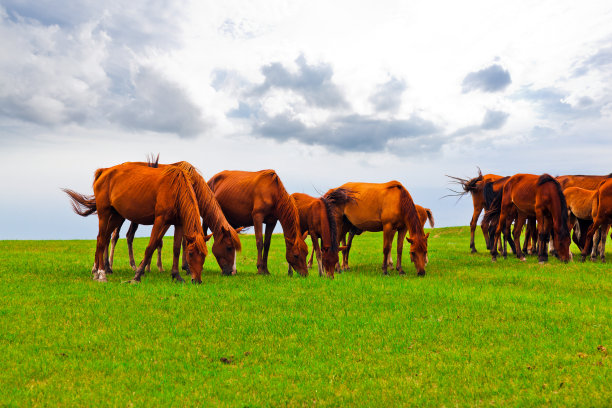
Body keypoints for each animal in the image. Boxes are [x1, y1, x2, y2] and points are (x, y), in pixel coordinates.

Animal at [62, 163, 208, 284]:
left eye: (204, 255)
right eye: (190, 254)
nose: (197, 280)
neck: (175, 188)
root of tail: (104, 171)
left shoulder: (178, 224)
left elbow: (176, 249)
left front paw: (176, 276)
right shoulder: (160, 220)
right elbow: (151, 246)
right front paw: (137, 276)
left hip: (116, 216)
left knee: (102, 239)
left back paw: (96, 272)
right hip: (104, 213)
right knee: (102, 239)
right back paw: (102, 274)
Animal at [106, 159, 243, 274]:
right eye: (229, 247)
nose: (232, 272)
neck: (191, 182)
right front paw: (185, 267)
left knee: (129, 236)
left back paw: (132, 265)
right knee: (114, 237)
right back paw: (110, 265)